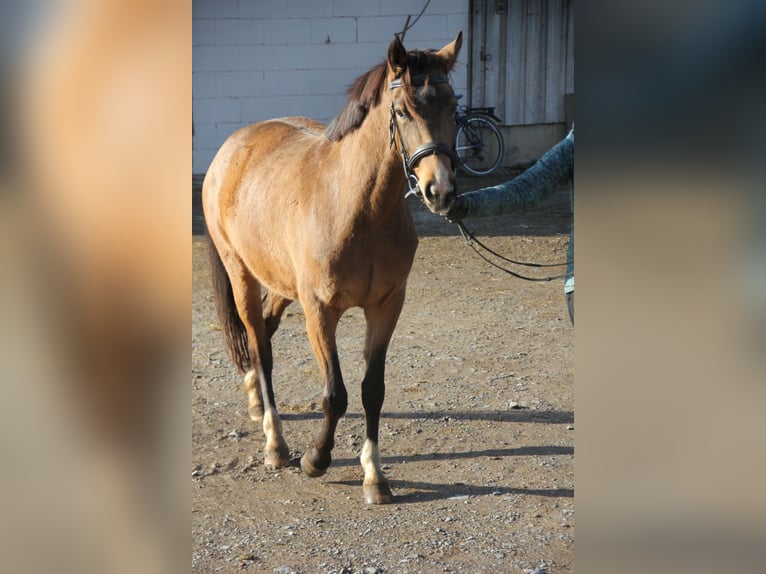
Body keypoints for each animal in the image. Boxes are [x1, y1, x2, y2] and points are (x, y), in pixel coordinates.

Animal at [202, 31, 462, 504]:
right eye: (402, 110)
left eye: (453, 105)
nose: (442, 192)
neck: (354, 204)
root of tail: (233, 147)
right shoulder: (320, 312)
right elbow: (336, 394)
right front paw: (316, 459)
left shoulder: (386, 307)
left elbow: (372, 390)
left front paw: (374, 476)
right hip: (242, 275)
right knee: (260, 346)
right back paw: (276, 443)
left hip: (280, 283)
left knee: (264, 330)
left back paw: (255, 400)